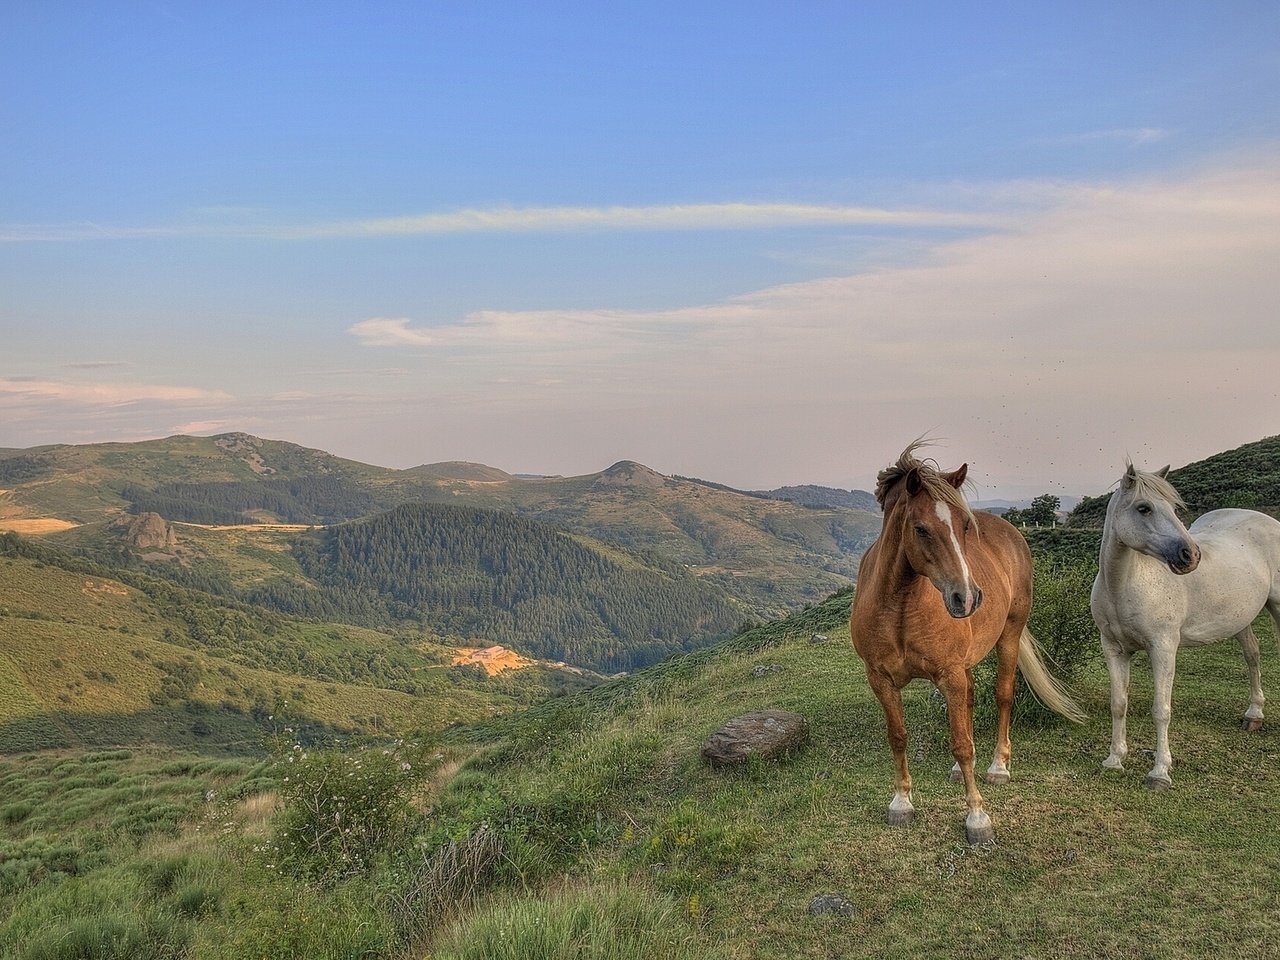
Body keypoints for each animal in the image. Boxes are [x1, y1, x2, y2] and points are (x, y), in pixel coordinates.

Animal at [849, 442, 1080, 839]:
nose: (968, 597)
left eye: (965, 526)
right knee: (970, 700)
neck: (899, 607)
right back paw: (960, 774)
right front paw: (901, 802)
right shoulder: (880, 679)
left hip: (1009, 635)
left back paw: (999, 766)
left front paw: (977, 816)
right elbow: (898, 736)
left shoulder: (949, 674)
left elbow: (961, 744)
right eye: (921, 529)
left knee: (1004, 695)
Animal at [1090, 463, 1280, 788]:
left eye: (1174, 508)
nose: (1191, 555)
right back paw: (1254, 714)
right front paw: (1114, 759)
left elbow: (1161, 710)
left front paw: (1159, 772)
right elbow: (1119, 703)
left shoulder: (1163, 648)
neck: (1123, 585)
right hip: (1240, 619)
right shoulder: (1114, 649)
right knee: (1253, 655)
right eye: (1144, 508)